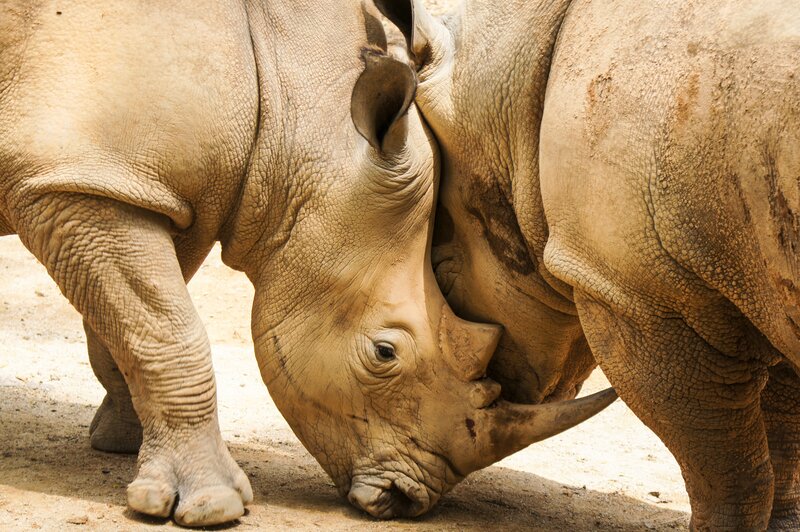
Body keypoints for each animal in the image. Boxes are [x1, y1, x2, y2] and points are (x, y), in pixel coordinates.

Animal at [0, 0, 615, 526]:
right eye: (384, 352)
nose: (405, 501)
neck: (291, 100)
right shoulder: (76, 177)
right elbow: (169, 333)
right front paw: (210, 506)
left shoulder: (136, 181)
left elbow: (133, 325)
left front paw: (121, 442)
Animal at [377, 0, 800, 528]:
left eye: (446, 271)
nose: (400, 501)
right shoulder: (753, 268)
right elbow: (781, 441)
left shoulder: (639, 293)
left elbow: (725, 472)